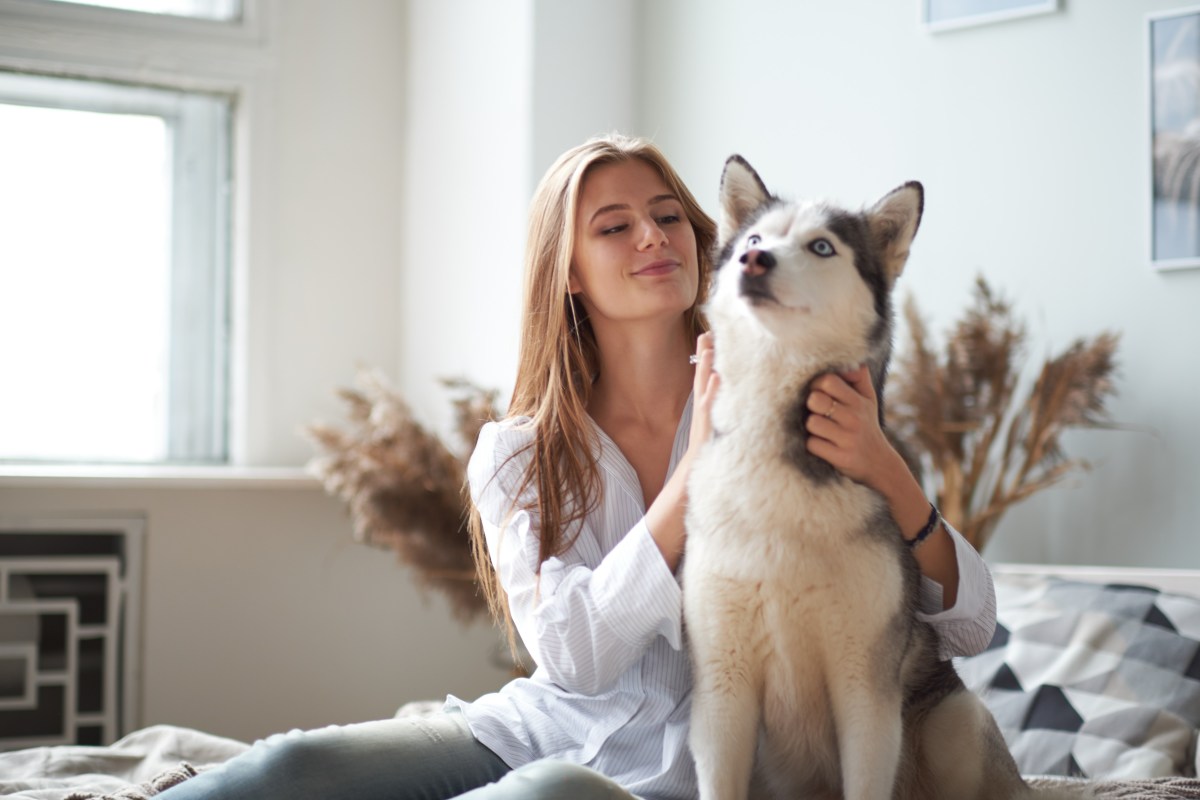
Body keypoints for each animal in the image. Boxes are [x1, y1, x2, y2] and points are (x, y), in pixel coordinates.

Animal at [691, 158, 1056, 800]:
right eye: (756, 238)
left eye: (821, 246)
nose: (753, 260)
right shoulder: (722, 691)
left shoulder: (865, 691)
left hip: (956, 719)